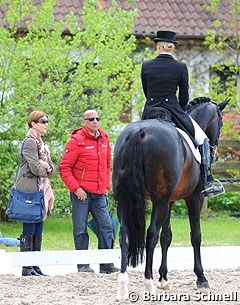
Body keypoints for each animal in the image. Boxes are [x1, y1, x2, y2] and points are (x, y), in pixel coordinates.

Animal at [112, 98, 229, 300]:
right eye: (220, 121)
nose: (215, 154)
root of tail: (139, 132)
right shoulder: (194, 198)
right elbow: (196, 235)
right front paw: (201, 278)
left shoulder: (169, 201)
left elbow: (166, 236)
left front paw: (164, 279)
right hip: (159, 200)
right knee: (151, 234)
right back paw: (148, 283)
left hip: (126, 200)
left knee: (124, 235)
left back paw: (123, 286)